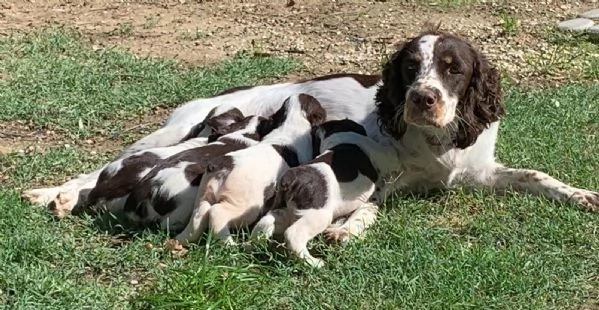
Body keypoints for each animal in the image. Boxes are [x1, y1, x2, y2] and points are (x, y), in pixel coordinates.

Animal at [173, 93, 328, 246]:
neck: (292, 121)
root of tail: (221, 167)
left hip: (204, 194)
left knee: (199, 213)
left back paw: (182, 239)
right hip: (245, 206)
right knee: (217, 213)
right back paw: (229, 243)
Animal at [248, 117, 398, 268]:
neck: (337, 134)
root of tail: (290, 180)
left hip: (284, 210)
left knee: (265, 223)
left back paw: (253, 248)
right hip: (319, 215)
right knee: (293, 234)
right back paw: (313, 263)